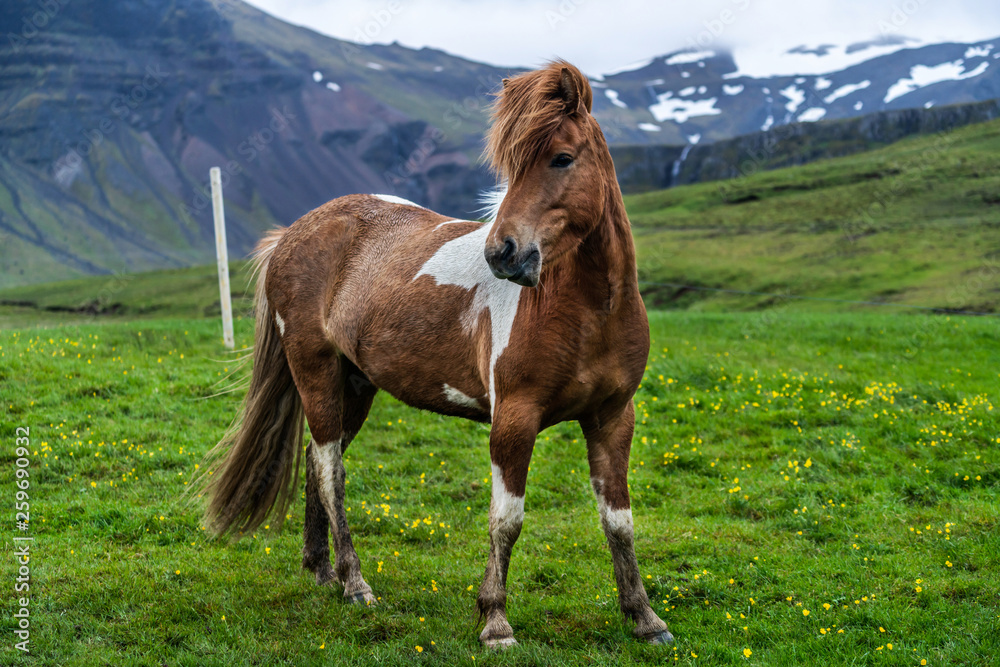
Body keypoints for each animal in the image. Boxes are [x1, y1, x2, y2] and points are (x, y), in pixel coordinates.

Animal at [198, 61, 672, 648]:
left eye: (562, 158)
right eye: (510, 167)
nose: (502, 253)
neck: (587, 311)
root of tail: (294, 233)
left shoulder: (612, 418)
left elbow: (619, 521)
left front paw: (644, 617)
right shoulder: (514, 419)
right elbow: (506, 520)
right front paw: (495, 621)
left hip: (354, 385)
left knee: (314, 460)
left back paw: (321, 570)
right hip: (316, 372)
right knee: (330, 470)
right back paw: (354, 583)